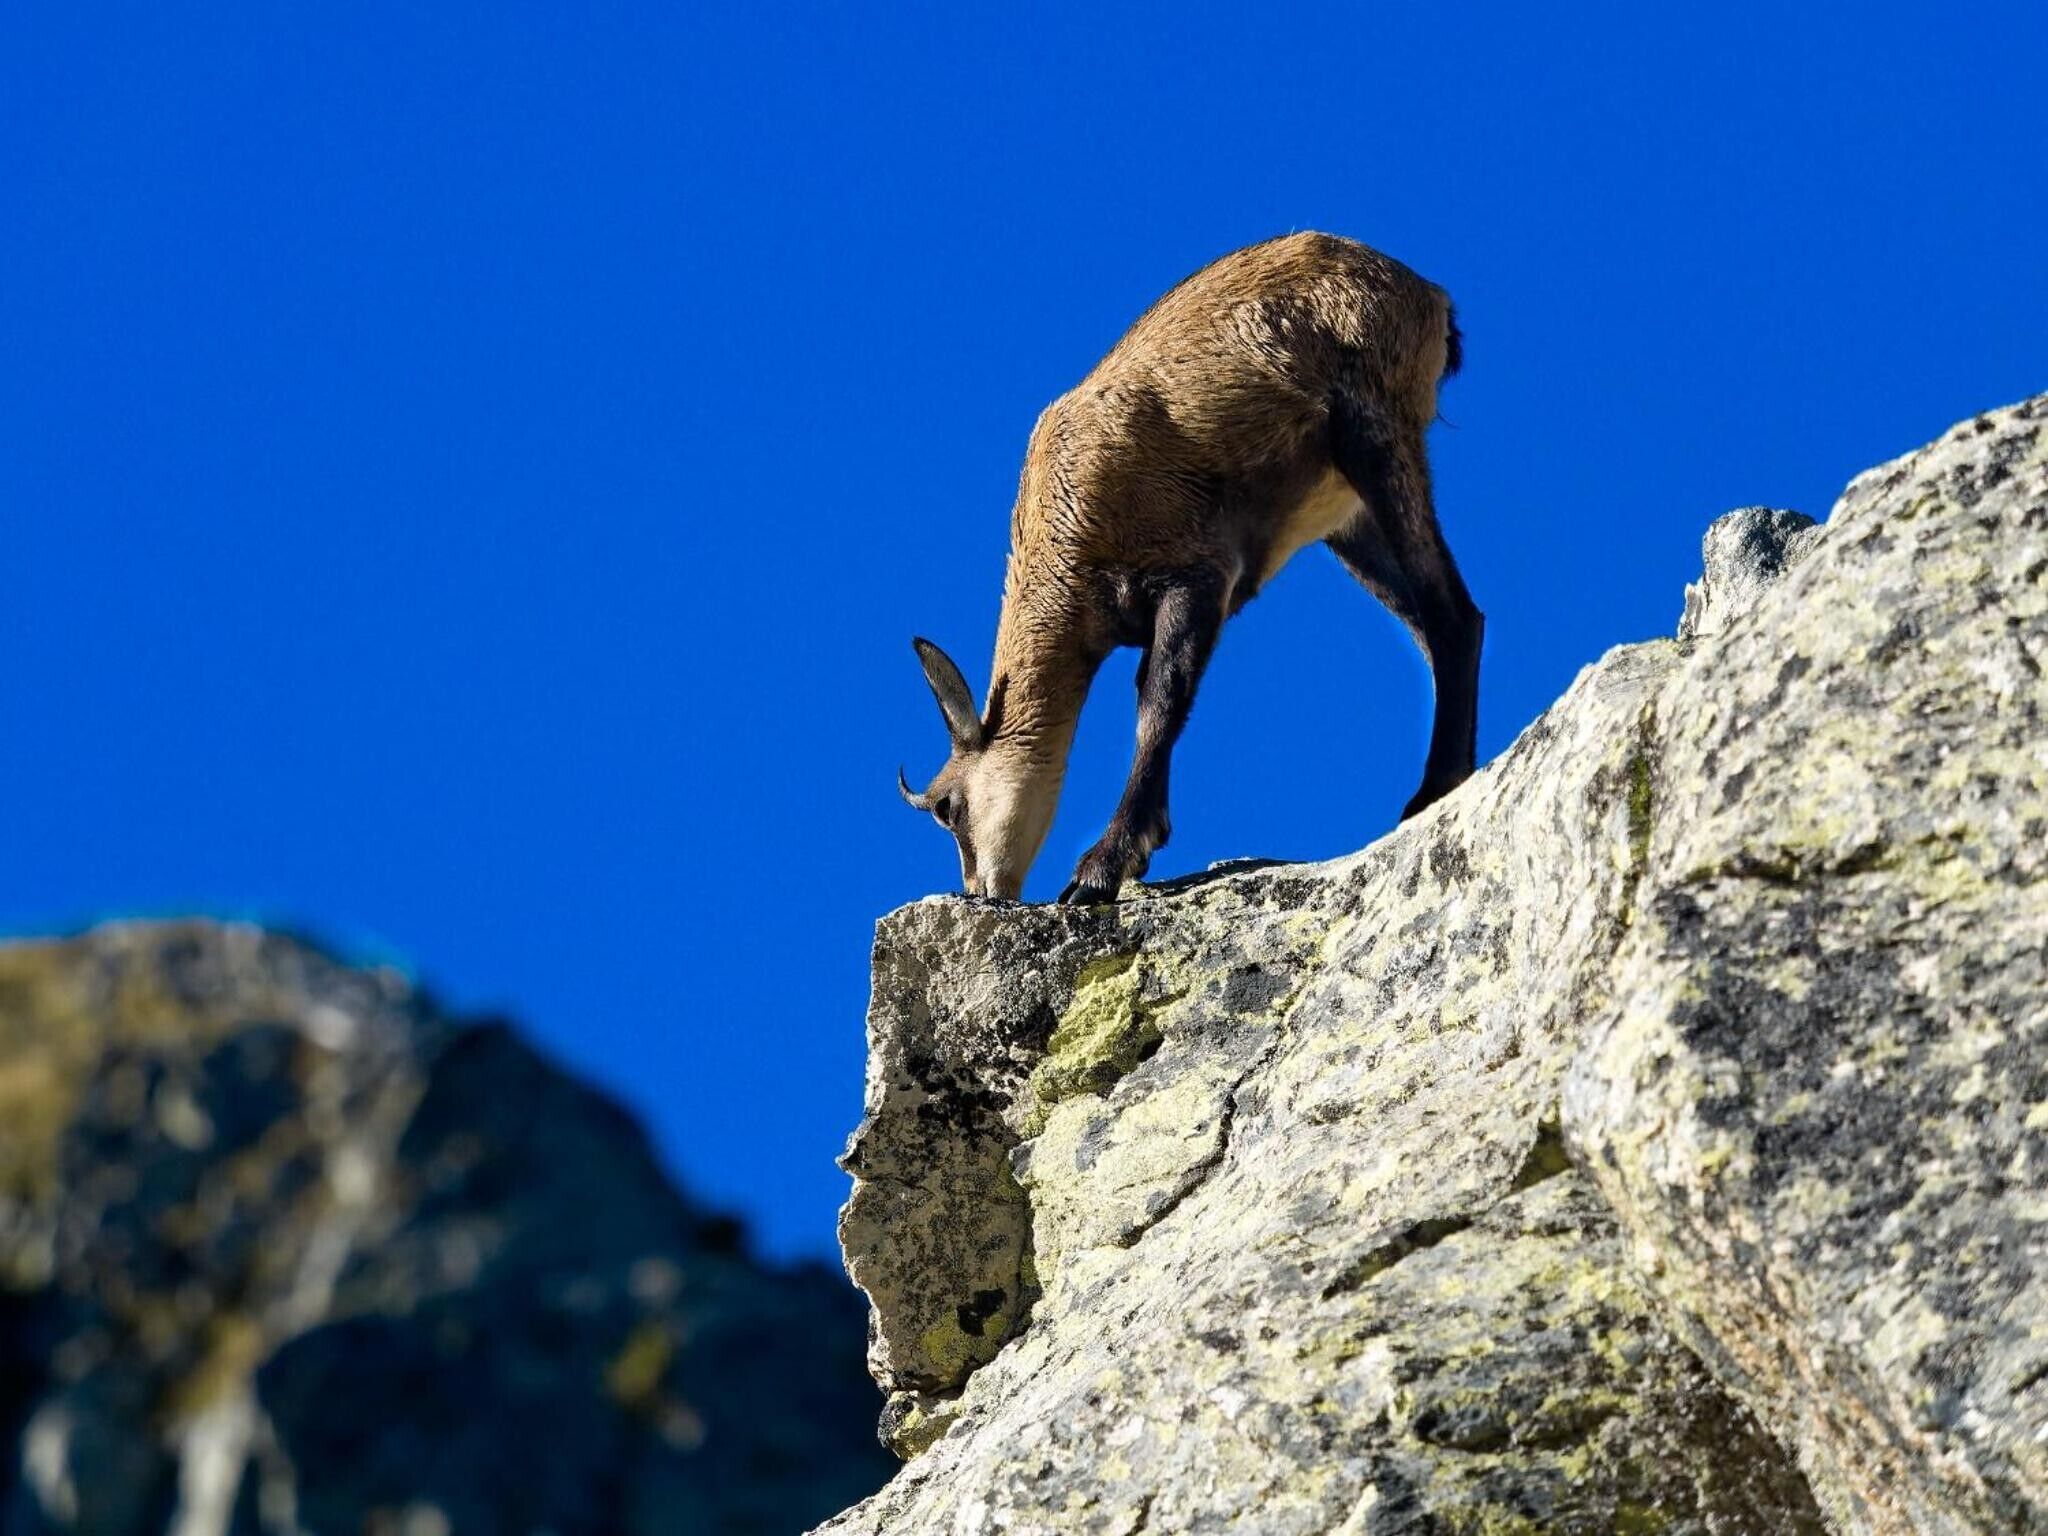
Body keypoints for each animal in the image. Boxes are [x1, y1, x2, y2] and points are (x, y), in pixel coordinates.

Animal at [899, 231, 1482, 903]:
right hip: (1347, 519)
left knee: (1452, 611)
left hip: (1375, 430)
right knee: (1437, 623)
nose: (981, 891)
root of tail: (1427, 295)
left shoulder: (1193, 572)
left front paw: (1104, 866)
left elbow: (1159, 702)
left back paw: (1433, 788)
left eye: (948, 807)